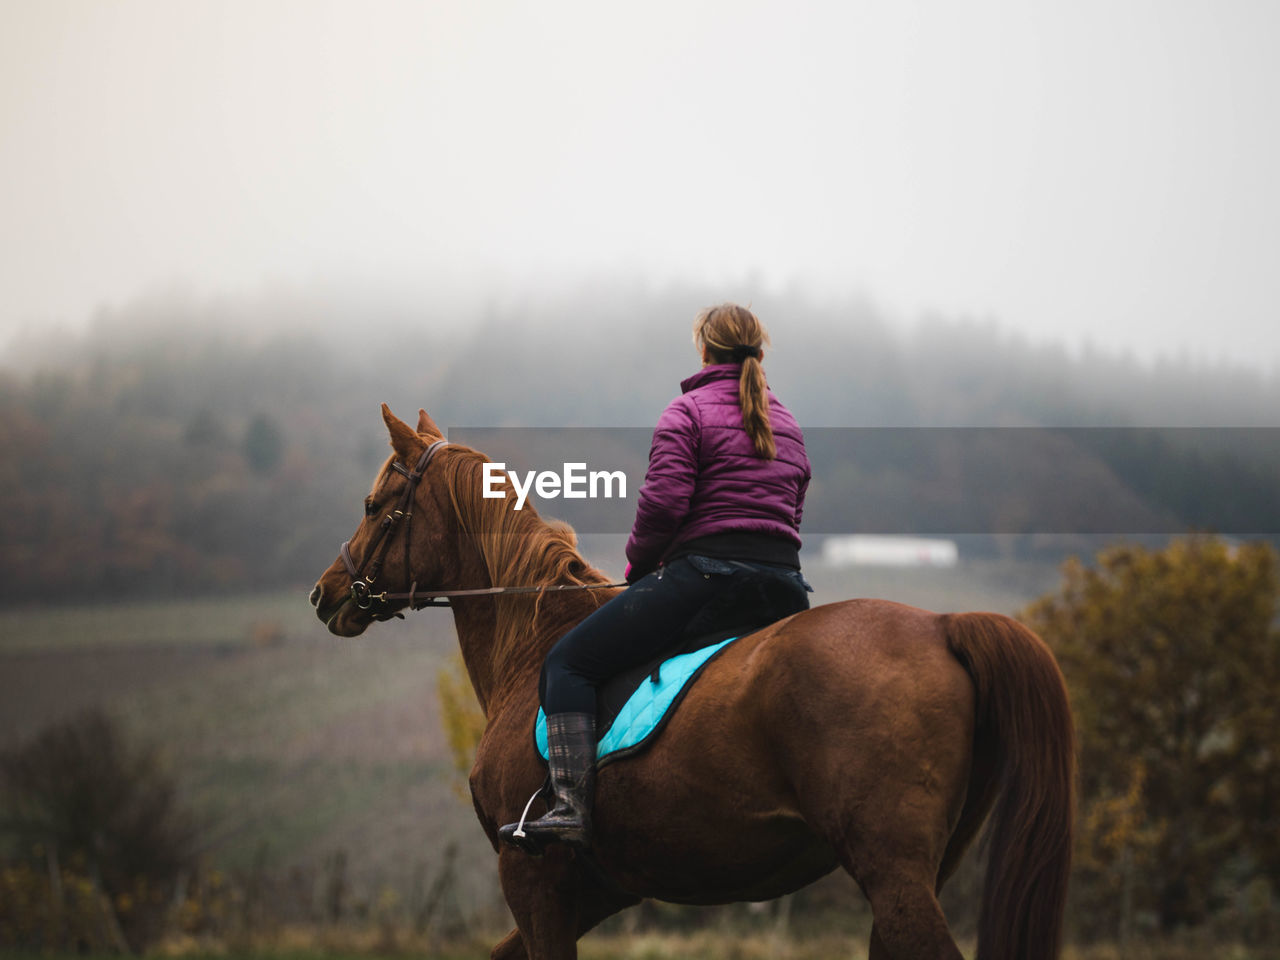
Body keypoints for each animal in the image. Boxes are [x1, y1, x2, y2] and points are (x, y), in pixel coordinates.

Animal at [312, 407, 1080, 960]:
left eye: (375, 504)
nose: (325, 596)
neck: (530, 643)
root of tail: (944, 625)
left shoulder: (532, 877)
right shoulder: (599, 889)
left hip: (893, 873)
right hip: (922, 870)